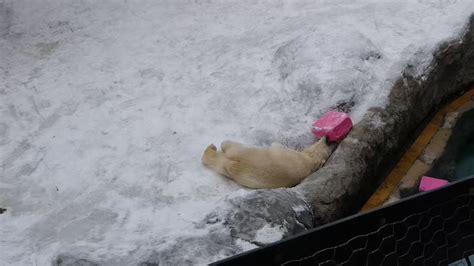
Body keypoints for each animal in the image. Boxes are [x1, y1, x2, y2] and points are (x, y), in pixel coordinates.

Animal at [202, 137, 332, 189]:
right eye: (324, 143)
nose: (327, 138)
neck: (309, 160)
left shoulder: (284, 152)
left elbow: (276, 144)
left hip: (243, 151)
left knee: (225, 144)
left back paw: (211, 148)